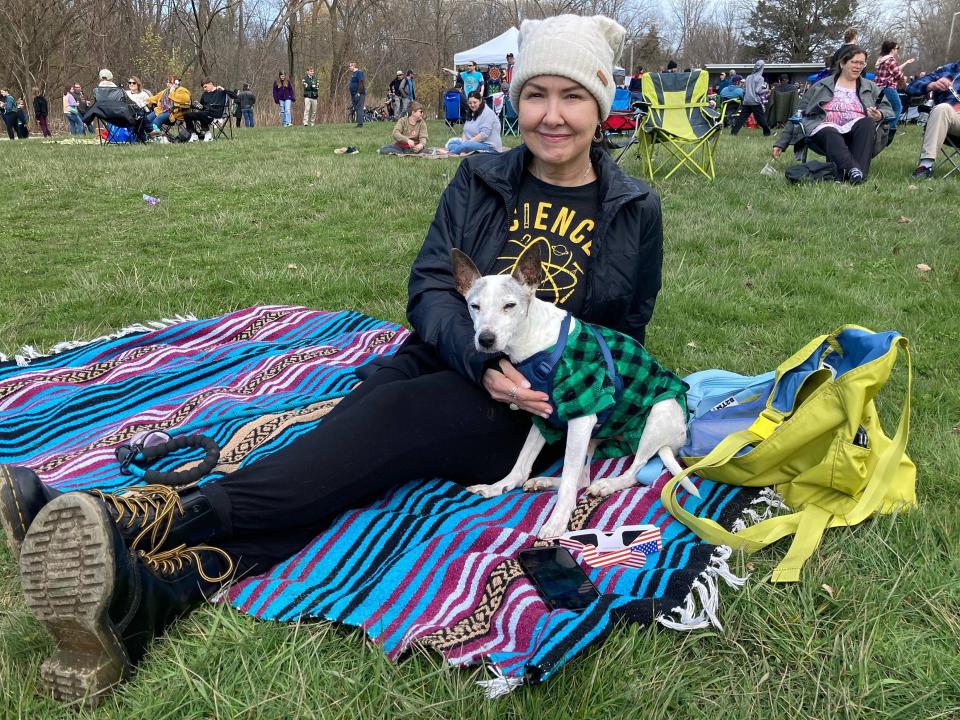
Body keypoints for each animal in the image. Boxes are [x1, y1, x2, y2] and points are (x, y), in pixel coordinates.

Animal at [450, 250, 696, 536]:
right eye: (474, 306)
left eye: (509, 305)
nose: (486, 339)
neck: (535, 344)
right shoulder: (544, 415)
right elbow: (523, 464)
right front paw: (498, 487)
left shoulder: (581, 415)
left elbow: (568, 478)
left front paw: (557, 521)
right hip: (593, 437)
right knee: (582, 477)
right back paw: (544, 481)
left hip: (658, 413)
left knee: (633, 470)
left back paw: (607, 484)